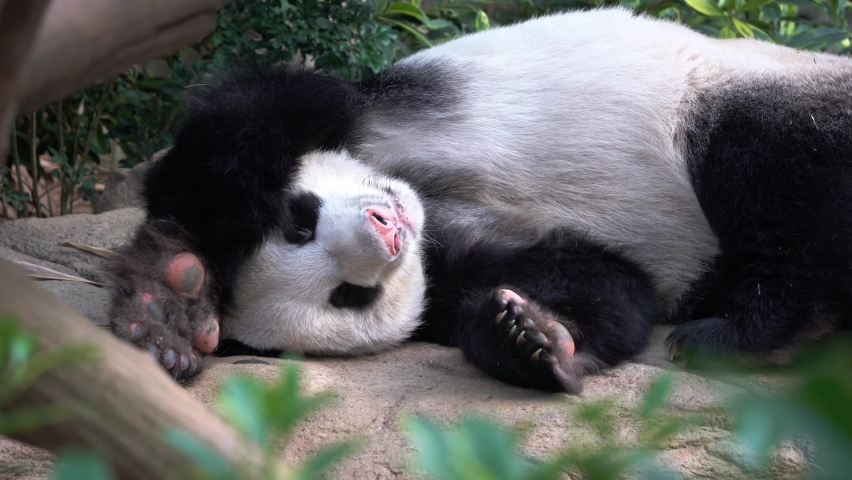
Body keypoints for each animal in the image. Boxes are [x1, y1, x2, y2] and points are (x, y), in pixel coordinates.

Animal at [108, 7, 852, 393]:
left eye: (301, 221)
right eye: (348, 296)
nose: (387, 229)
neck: (427, 204)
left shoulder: (361, 105)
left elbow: (245, 122)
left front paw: (169, 289)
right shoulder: (450, 265)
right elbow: (609, 285)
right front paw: (531, 337)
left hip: (740, 90)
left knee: (766, 167)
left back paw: (743, 330)